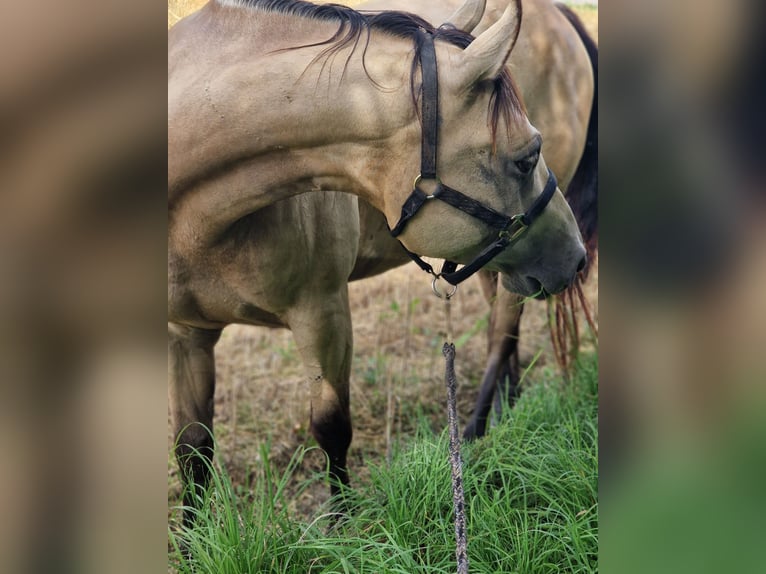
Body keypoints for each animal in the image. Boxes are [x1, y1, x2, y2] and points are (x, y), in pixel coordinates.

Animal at [170, 0, 588, 524]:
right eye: (527, 158)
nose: (576, 257)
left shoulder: (323, 314)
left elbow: (331, 429)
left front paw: (342, 527)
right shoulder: (187, 335)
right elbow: (193, 450)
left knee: (500, 335)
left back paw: (473, 435)